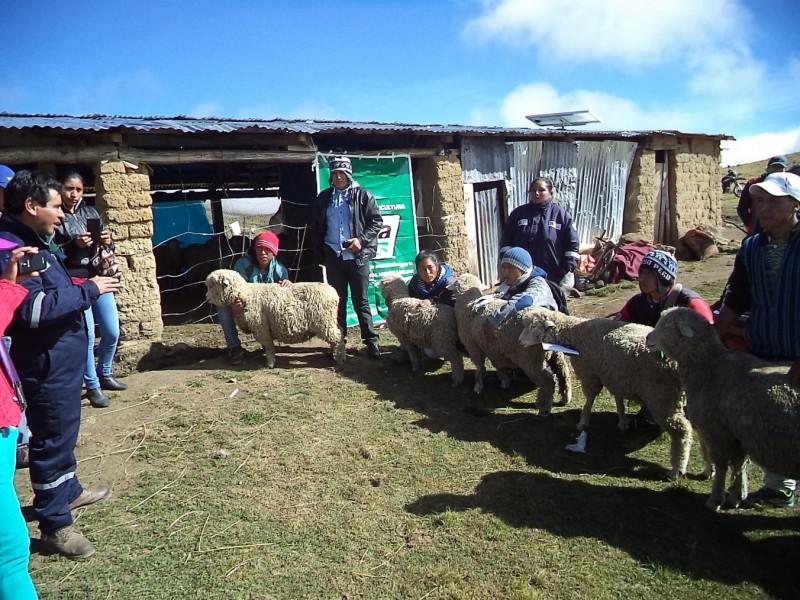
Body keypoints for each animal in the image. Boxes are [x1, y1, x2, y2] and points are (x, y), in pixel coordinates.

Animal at [205, 270, 346, 368]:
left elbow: (268, 345)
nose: (207, 298)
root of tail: (332, 291)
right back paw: (334, 354)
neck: (246, 293)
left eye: (212, 285)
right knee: (340, 332)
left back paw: (339, 359)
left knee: (338, 336)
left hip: (323, 322)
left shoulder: (261, 326)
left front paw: (270, 363)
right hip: (330, 320)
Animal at [446, 274, 572, 410]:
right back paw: (566, 398)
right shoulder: (492, 347)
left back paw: (544, 407)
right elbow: (497, 364)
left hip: (531, 359)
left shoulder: (473, 346)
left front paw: (478, 386)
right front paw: (504, 381)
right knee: (564, 372)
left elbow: (480, 367)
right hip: (556, 354)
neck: (468, 304)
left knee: (548, 381)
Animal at [520, 308, 692, 480]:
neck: (576, 333)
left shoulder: (590, 373)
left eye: (533, 326)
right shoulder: (614, 375)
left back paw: (677, 469)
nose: (520, 341)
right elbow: (618, 398)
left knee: (681, 431)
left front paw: (583, 421)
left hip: (661, 396)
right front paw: (623, 421)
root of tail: (676, 363)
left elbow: (589, 399)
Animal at [644, 310, 800, 510]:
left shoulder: (717, 431)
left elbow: (721, 466)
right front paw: (736, 496)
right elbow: (740, 465)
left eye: (667, 325)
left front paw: (715, 499)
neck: (708, 365)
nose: (648, 338)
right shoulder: (736, 434)